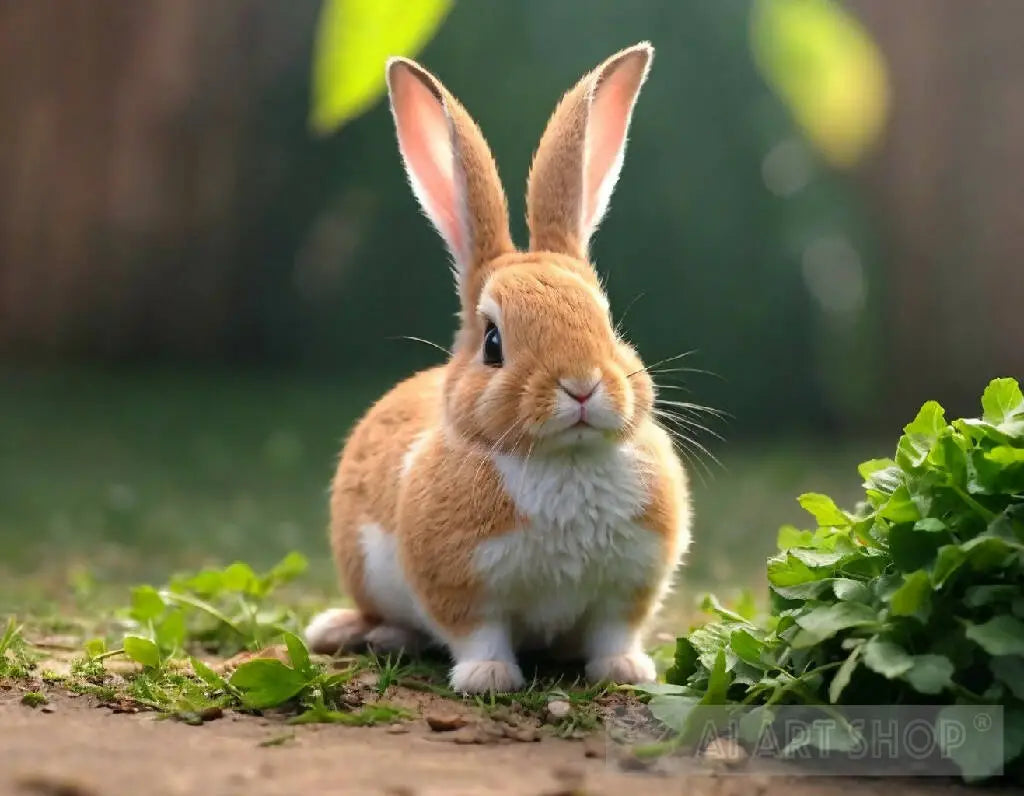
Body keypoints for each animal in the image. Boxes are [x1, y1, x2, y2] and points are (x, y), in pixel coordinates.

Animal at [305, 42, 692, 694]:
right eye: (493, 343)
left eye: (607, 321)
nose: (581, 386)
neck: (564, 460)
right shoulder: (461, 585)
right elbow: (477, 633)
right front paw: (488, 678)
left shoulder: (627, 586)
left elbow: (613, 631)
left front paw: (625, 670)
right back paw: (353, 632)